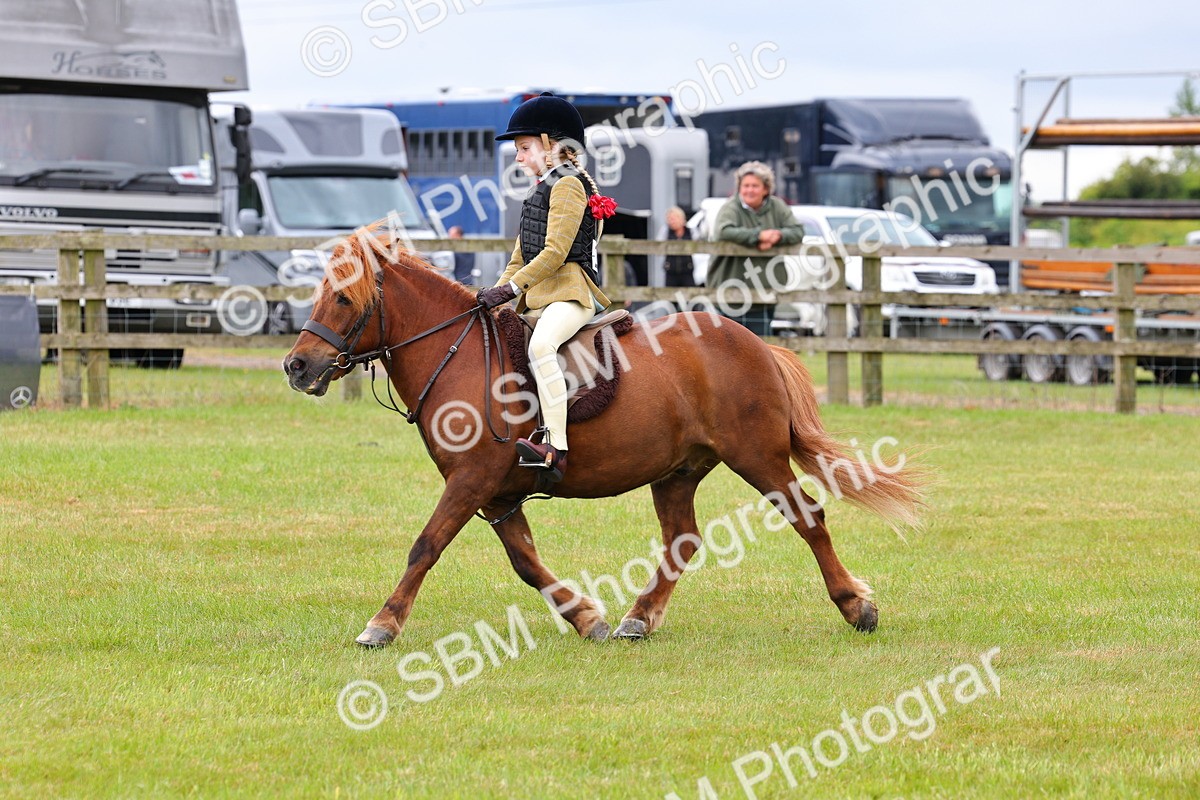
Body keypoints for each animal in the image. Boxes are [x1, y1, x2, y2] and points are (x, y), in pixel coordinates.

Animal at [283, 232, 924, 647]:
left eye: (344, 298)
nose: (296, 366)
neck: (458, 354)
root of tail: (757, 343)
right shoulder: (497, 493)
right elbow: (525, 561)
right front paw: (586, 618)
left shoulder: (471, 482)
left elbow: (425, 547)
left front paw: (382, 626)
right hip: (678, 471)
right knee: (682, 539)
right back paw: (638, 618)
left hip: (757, 457)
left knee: (807, 517)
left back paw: (857, 606)